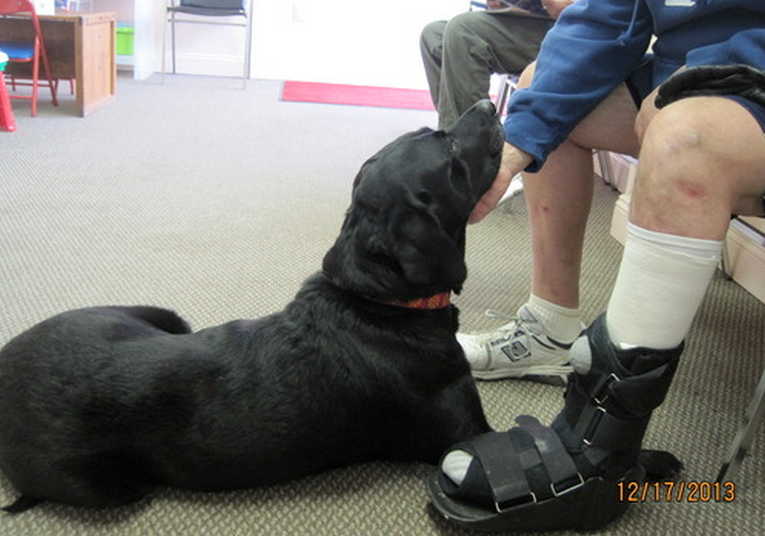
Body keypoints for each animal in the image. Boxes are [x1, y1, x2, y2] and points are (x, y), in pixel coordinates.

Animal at [0, 100, 504, 510]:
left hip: (161, 316)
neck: (380, 300)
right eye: (450, 149)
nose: (488, 103)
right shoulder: (468, 437)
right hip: (112, 483)